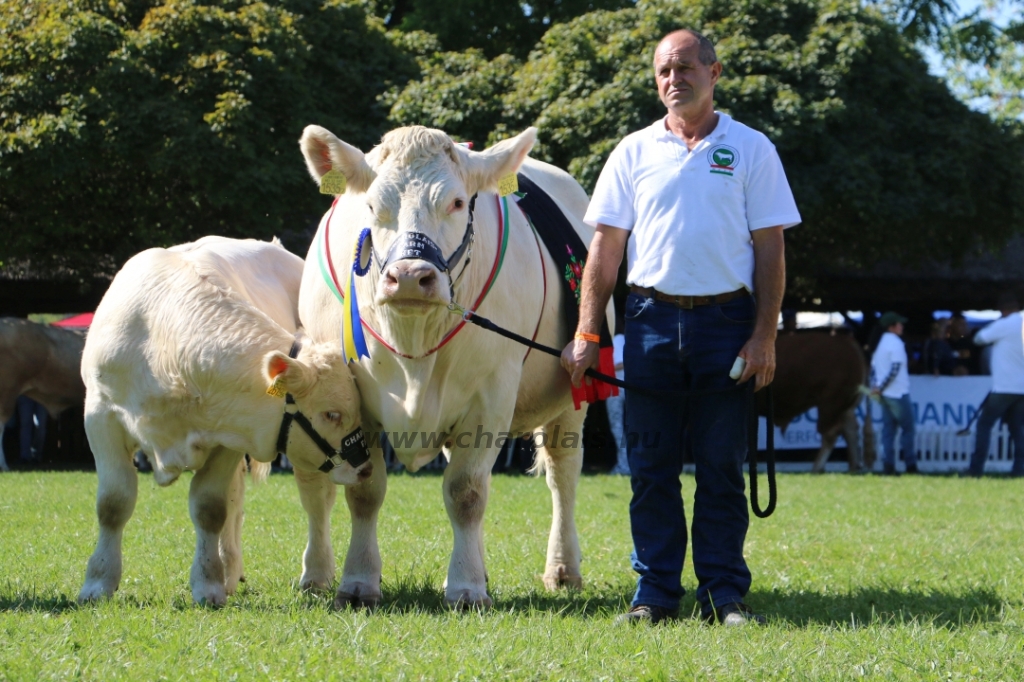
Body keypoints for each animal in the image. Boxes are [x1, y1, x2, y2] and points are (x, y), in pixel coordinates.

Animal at [78, 236, 368, 602]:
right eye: (332, 414)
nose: (366, 468)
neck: (165, 344)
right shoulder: (101, 417)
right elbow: (113, 503)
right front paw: (98, 582)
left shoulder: (231, 435)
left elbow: (210, 508)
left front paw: (207, 584)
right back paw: (231, 568)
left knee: (314, 502)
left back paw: (314, 572)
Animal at [294, 123, 606, 606]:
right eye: (372, 206)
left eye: (457, 203)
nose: (408, 277)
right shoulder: (351, 400)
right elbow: (364, 490)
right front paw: (358, 580)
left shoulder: (490, 396)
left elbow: (467, 492)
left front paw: (465, 586)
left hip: (575, 387)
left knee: (562, 475)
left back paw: (562, 567)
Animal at [765, 329, 876, 473]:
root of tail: (847, 340)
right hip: (845, 407)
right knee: (851, 429)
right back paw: (853, 467)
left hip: (830, 404)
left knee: (831, 433)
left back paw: (817, 467)